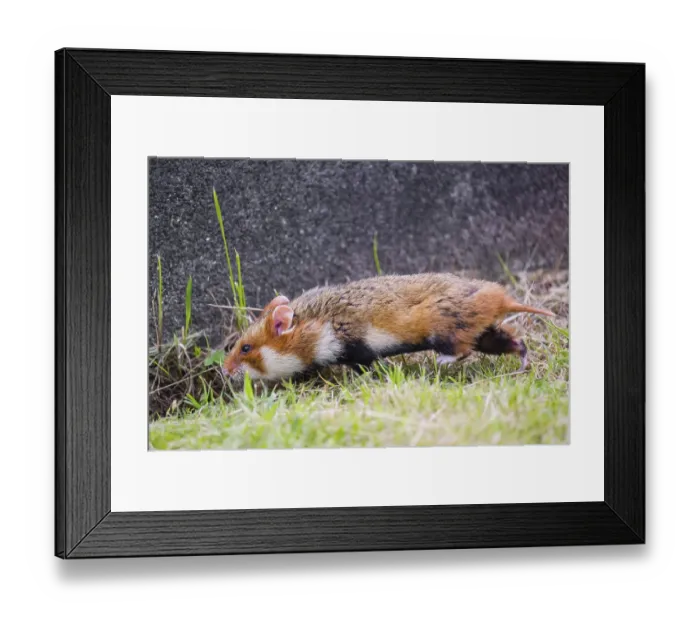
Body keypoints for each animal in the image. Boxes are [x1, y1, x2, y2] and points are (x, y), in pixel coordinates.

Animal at [222, 273, 555, 382]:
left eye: (245, 348)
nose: (224, 371)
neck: (316, 323)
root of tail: (502, 297)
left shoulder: (356, 346)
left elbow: (365, 367)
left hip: (445, 329)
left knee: (459, 350)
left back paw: (439, 363)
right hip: (485, 334)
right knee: (515, 342)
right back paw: (522, 366)